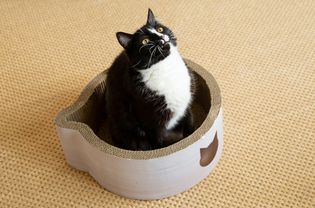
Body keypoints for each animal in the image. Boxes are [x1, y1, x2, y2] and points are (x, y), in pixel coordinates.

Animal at [106, 9, 195, 150]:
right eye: (145, 41)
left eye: (159, 29)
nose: (161, 37)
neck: (167, 69)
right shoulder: (151, 123)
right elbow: (159, 142)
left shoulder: (187, 105)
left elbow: (190, 124)